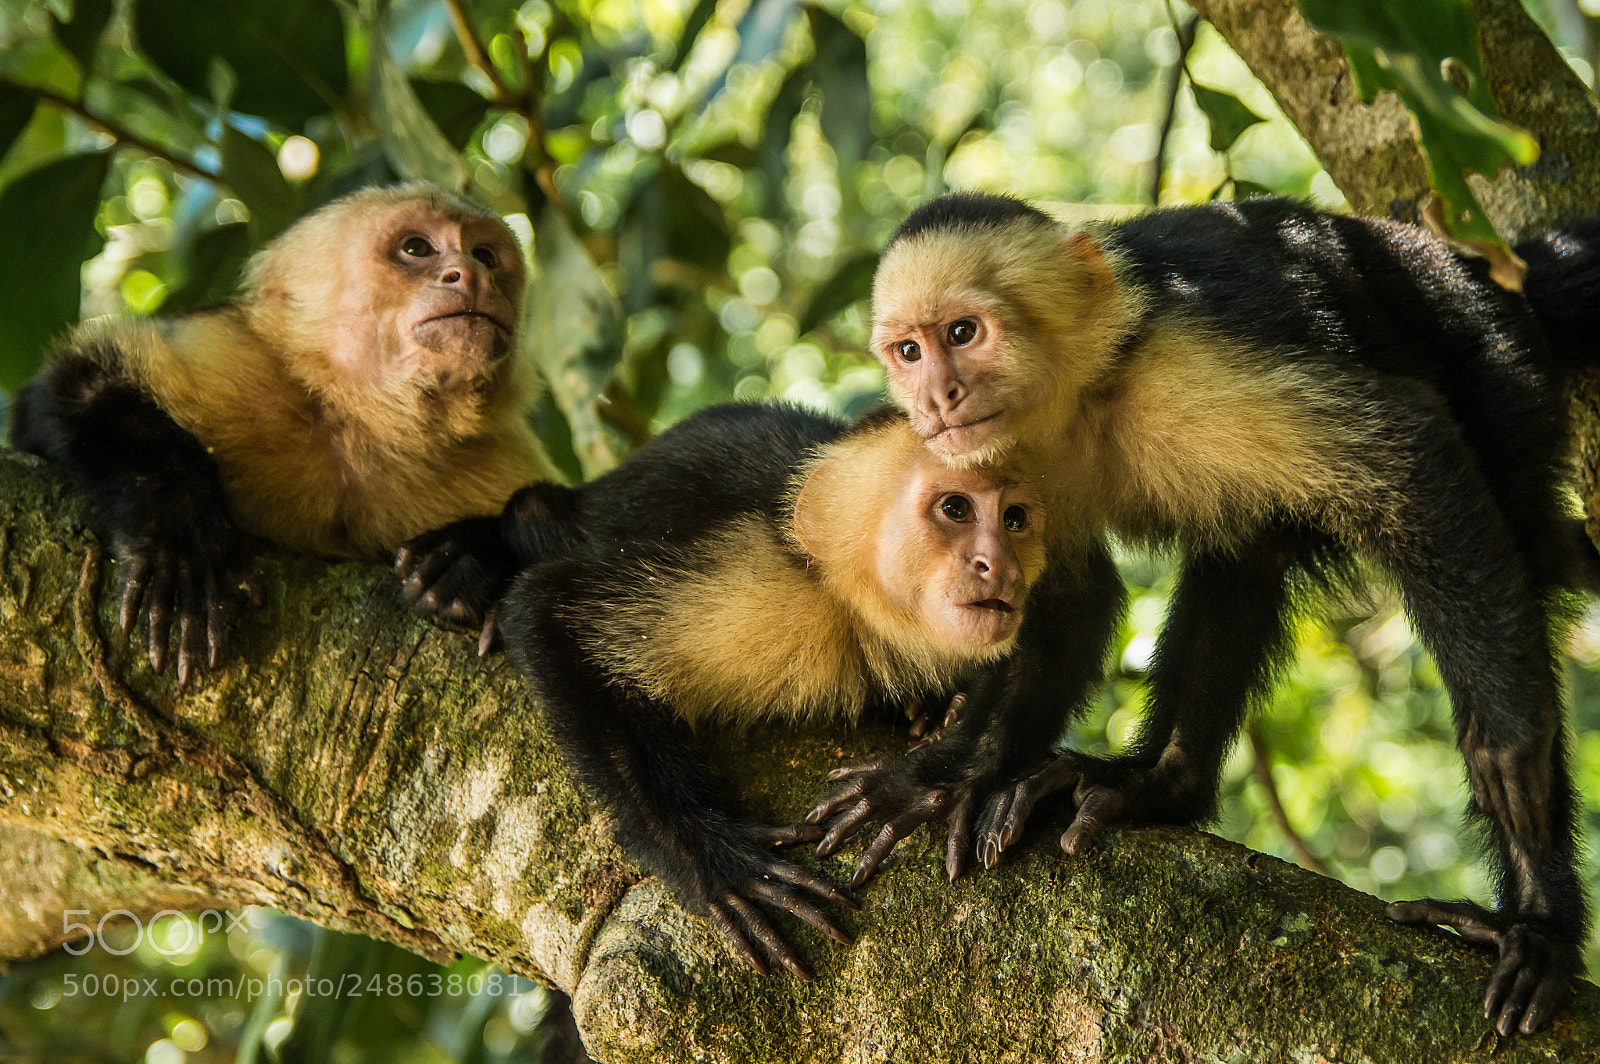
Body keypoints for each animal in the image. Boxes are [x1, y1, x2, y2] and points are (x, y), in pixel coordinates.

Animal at [7, 181, 556, 683]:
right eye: (417, 248)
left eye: (486, 256)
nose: (473, 274)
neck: (365, 424)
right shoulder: (237, 358)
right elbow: (63, 393)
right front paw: (177, 526)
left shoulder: (498, 454)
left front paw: (472, 554)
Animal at [396, 402, 1055, 978]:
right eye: (955, 509)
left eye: (1015, 520)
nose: (998, 565)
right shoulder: (767, 581)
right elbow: (550, 608)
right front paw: (713, 863)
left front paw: (988, 762)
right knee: (535, 517)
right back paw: (461, 563)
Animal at [808, 191, 1600, 1035]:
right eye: (908, 352)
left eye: (963, 333)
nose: (936, 399)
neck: (1083, 392)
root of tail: (1458, 262)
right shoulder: (993, 464)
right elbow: (1068, 602)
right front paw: (955, 773)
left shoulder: (1186, 355)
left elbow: (1409, 456)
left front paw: (1506, 745)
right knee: (1243, 552)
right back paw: (1158, 786)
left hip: (1495, 364)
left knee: (1517, 546)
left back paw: (1535, 921)